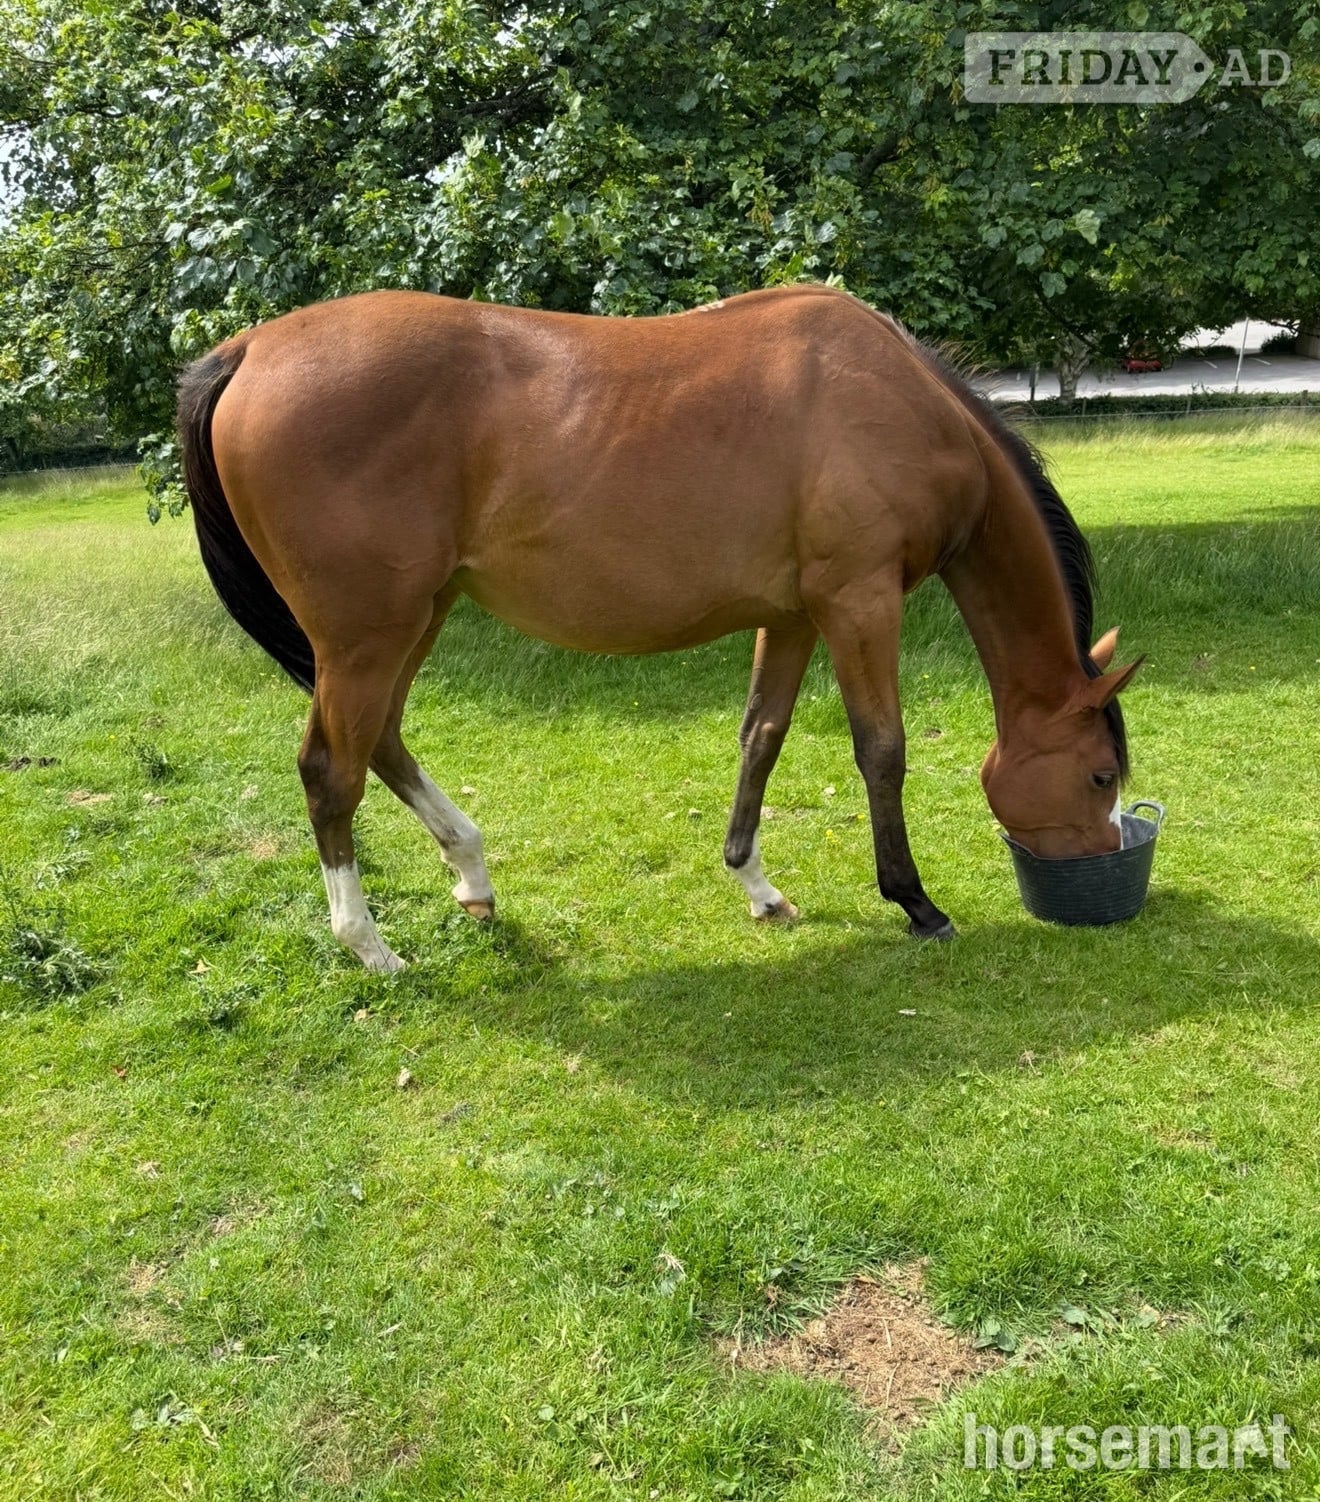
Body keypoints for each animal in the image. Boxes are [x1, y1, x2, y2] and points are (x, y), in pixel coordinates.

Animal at [177, 284, 1141, 972]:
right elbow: (882, 749)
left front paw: (757, 884)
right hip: (368, 637)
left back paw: (473, 876)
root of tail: (250, 348)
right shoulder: (859, 600)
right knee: (330, 771)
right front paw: (916, 903)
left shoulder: (794, 614)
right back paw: (370, 946)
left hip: (412, 620)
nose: (1103, 860)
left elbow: (762, 735)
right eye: (1099, 775)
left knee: (381, 742)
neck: (902, 401)